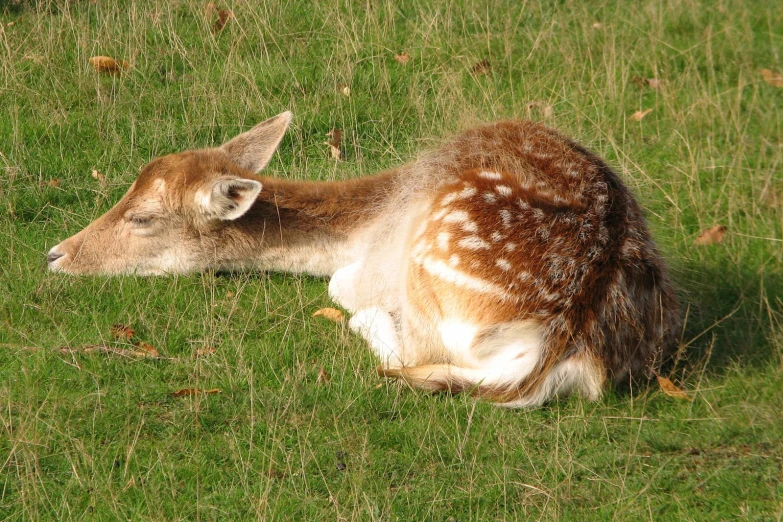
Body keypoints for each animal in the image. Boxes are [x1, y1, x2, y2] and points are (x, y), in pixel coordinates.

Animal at [49, 111, 684, 406]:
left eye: (141, 218)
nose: (56, 254)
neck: (370, 221)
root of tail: (562, 341)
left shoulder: (369, 268)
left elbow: (339, 285)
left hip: (433, 265)